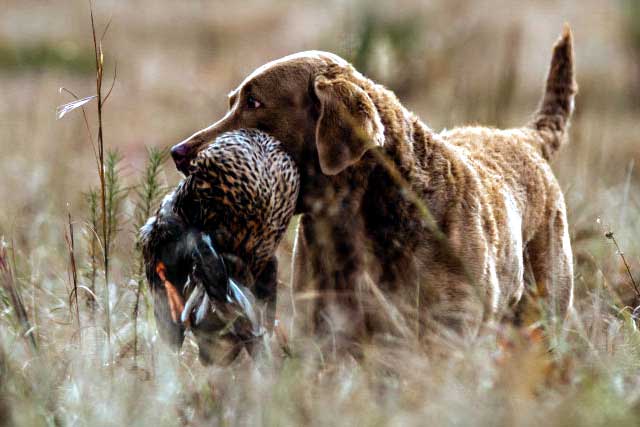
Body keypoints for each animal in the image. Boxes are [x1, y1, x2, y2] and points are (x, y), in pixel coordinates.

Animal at [172, 25, 576, 348]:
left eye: (254, 102)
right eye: (232, 102)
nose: (178, 153)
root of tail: (524, 137)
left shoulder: (450, 331)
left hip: (545, 308)